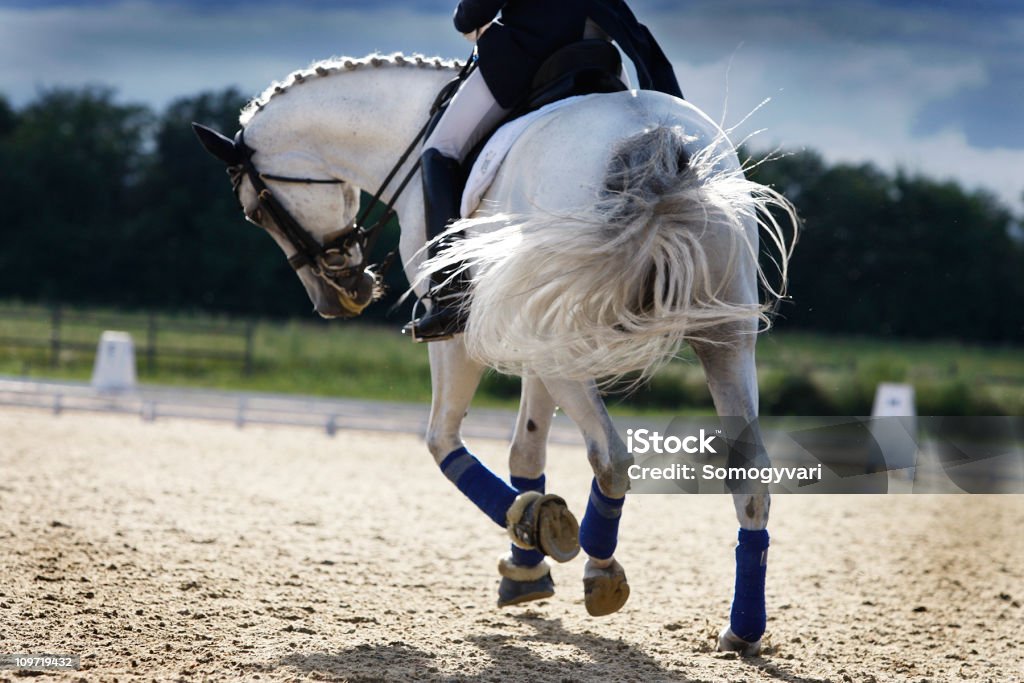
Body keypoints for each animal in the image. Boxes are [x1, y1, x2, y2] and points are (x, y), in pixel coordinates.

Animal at [193, 53, 798, 655]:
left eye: (255, 212)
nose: (337, 299)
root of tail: (654, 138)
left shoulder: (458, 336)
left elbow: (442, 442)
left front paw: (532, 528)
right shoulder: (532, 343)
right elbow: (525, 454)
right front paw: (528, 563)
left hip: (565, 335)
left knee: (611, 457)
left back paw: (600, 570)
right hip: (723, 338)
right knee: (748, 474)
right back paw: (742, 629)